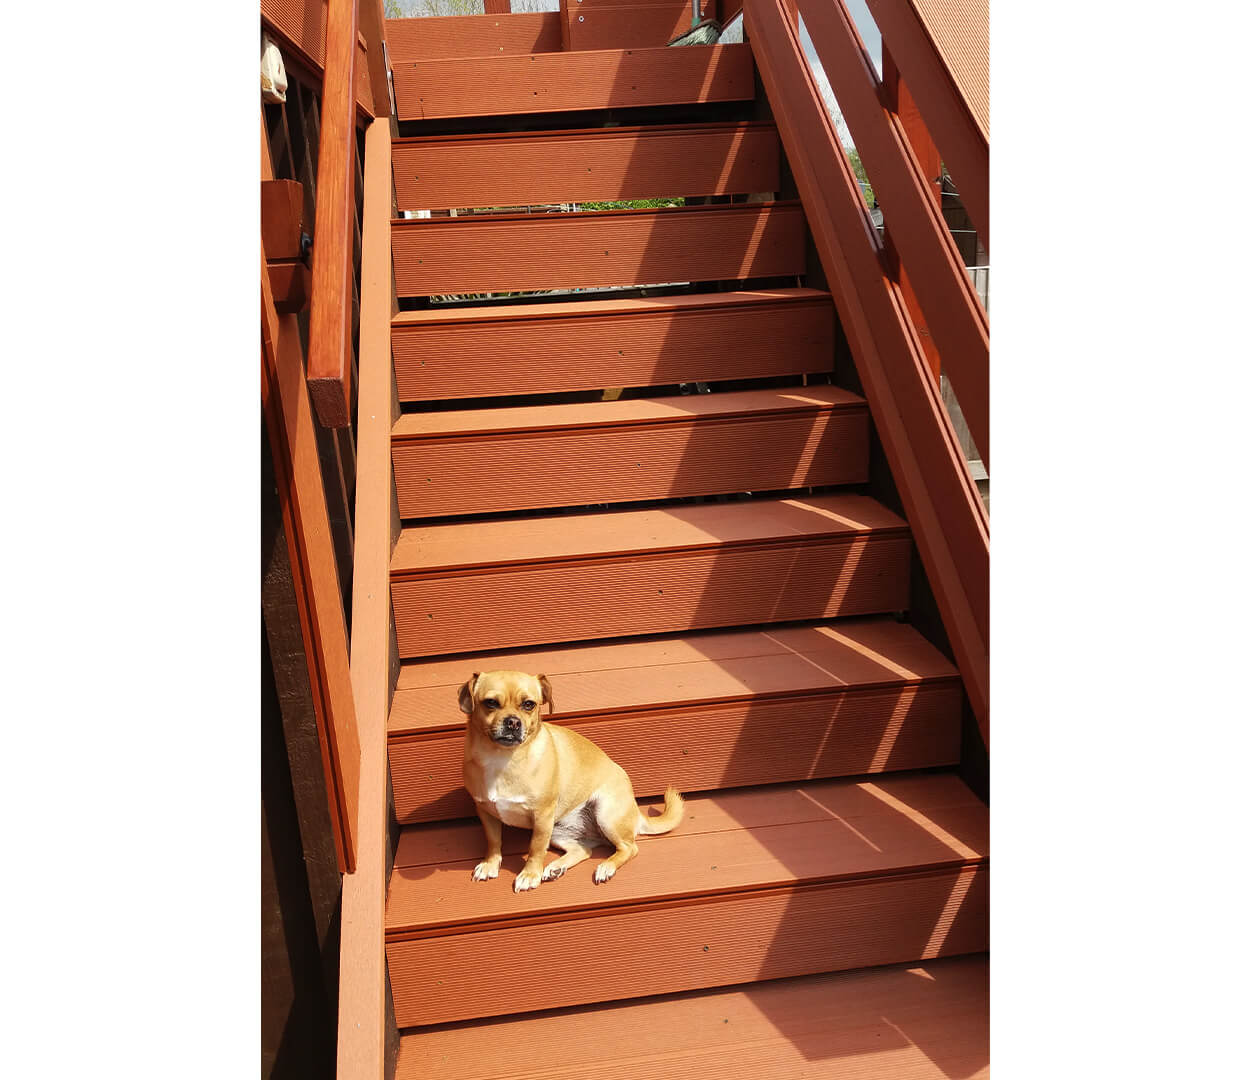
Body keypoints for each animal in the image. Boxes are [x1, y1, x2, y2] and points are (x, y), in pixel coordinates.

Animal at [462, 665, 685, 895]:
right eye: (490, 703)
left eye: (529, 704)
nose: (513, 722)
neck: (502, 758)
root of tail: (635, 811)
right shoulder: (486, 811)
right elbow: (493, 841)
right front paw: (490, 864)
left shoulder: (542, 818)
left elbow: (536, 849)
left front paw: (529, 875)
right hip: (558, 830)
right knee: (584, 849)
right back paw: (556, 867)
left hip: (605, 814)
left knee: (629, 847)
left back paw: (606, 867)